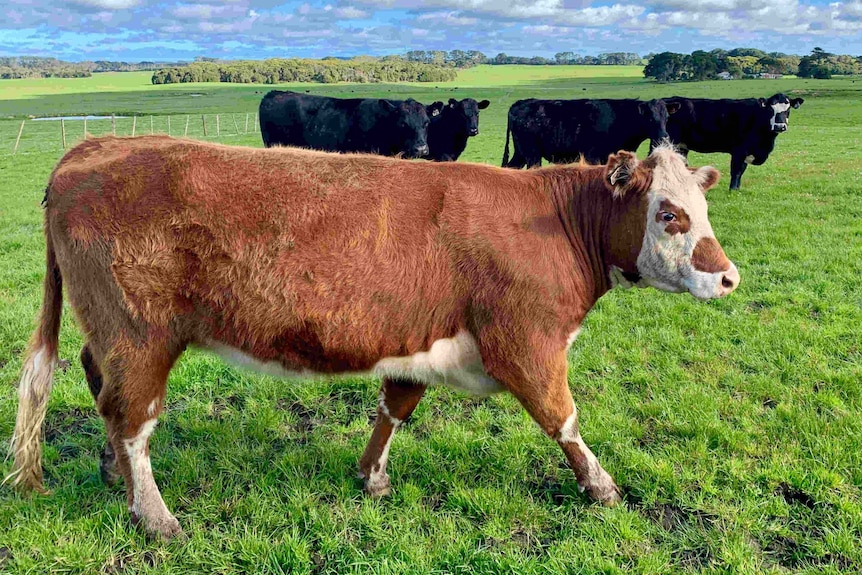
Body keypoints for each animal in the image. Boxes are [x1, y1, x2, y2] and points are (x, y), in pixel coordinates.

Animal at [6, 135, 740, 540]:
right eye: (669, 214)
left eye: (702, 208)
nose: (729, 277)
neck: (552, 219)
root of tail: (94, 146)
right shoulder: (527, 344)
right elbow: (563, 420)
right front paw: (603, 488)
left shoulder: (419, 342)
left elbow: (394, 408)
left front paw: (372, 476)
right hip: (140, 335)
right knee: (131, 414)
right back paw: (155, 515)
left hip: (113, 333)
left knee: (96, 380)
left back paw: (113, 473)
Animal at [502, 97, 680, 168]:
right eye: (649, 118)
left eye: (667, 117)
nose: (663, 137)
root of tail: (519, 103)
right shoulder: (592, 156)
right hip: (532, 153)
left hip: (521, 152)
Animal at [660, 93, 808, 190]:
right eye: (770, 109)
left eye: (788, 109)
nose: (779, 126)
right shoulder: (739, 151)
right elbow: (736, 171)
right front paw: (732, 190)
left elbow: (742, 171)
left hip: (681, 147)